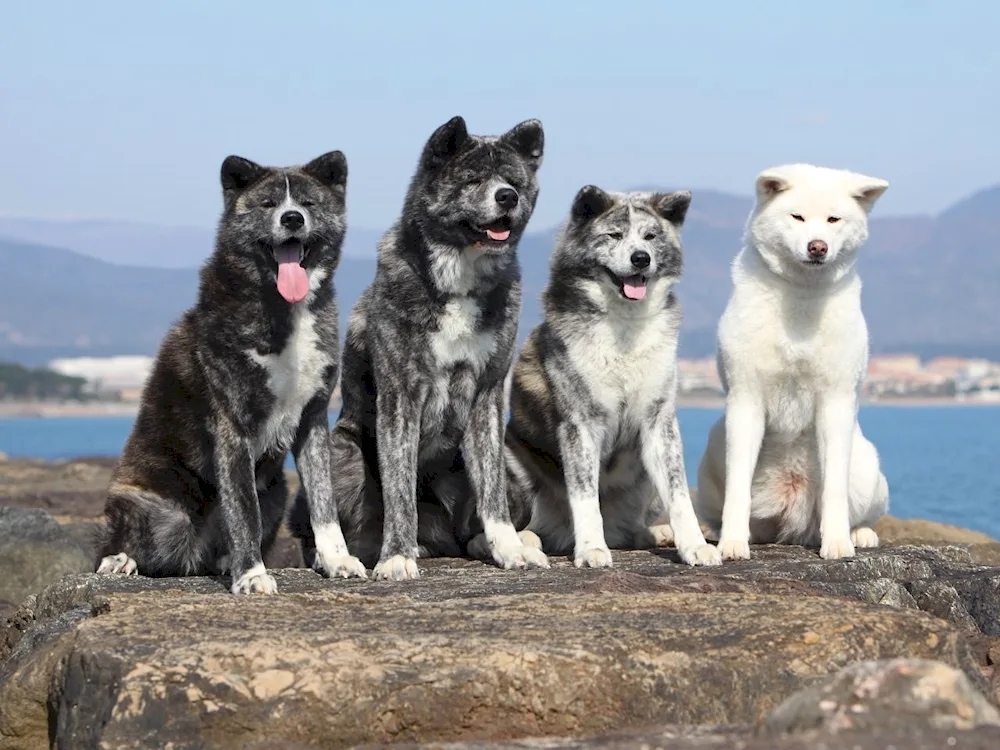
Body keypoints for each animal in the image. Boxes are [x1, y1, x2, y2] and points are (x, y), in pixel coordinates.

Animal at [94, 151, 366, 592]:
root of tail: (195, 559)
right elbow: (242, 509)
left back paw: (223, 561)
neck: (283, 308)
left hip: (277, 493)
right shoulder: (233, 425)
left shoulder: (312, 420)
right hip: (154, 509)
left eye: (308, 203)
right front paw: (252, 576)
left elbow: (324, 504)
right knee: (123, 544)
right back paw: (121, 560)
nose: (293, 218)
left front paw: (337, 560)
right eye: (269, 204)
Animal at [290, 114, 552, 580]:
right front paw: (397, 556)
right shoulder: (402, 395)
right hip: (341, 453)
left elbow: (492, 496)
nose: (508, 197)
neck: (460, 278)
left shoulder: (487, 395)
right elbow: (399, 492)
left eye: (513, 181)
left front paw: (509, 548)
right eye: (472, 179)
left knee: (472, 527)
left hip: (514, 473)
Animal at [504, 187, 724, 568]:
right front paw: (592, 548)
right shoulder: (580, 423)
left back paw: (656, 534)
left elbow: (680, 495)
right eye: (614, 235)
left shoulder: (659, 422)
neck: (625, 323)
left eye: (650, 237)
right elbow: (585, 496)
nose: (641, 259)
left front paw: (695, 545)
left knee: (633, 530)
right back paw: (529, 541)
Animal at [696, 166, 892, 564]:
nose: (818, 246)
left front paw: (838, 542)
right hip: (714, 447)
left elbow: (834, 488)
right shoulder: (746, 398)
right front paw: (732, 543)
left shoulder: (835, 401)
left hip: (868, 469)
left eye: (833, 219)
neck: (801, 298)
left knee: (863, 514)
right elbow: (737, 488)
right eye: (797, 216)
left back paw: (860, 534)